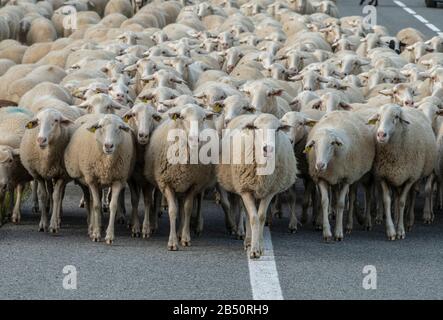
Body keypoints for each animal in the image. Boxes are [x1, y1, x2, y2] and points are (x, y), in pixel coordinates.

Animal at [218, 112, 298, 258]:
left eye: (278, 129)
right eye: (256, 128)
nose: (268, 149)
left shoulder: (269, 191)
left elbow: (261, 217)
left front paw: (259, 246)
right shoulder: (245, 190)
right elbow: (253, 217)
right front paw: (253, 249)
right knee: (247, 213)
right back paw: (248, 241)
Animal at [306, 110, 376, 240]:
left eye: (332, 143)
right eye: (314, 144)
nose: (320, 165)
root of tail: (342, 110)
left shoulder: (346, 179)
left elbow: (341, 204)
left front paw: (338, 233)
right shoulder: (322, 178)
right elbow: (324, 201)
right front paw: (327, 232)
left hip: (355, 175)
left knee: (354, 197)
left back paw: (351, 225)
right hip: (336, 178)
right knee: (337, 193)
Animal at [368, 104, 438, 239]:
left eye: (396, 117)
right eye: (378, 117)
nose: (381, 134)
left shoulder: (410, 178)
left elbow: (402, 202)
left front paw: (400, 231)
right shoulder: (383, 176)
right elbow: (387, 201)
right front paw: (391, 231)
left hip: (416, 175)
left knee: (412, 194)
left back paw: (410, 221)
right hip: (396, 177)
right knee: (396, 195)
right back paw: (396, 219)